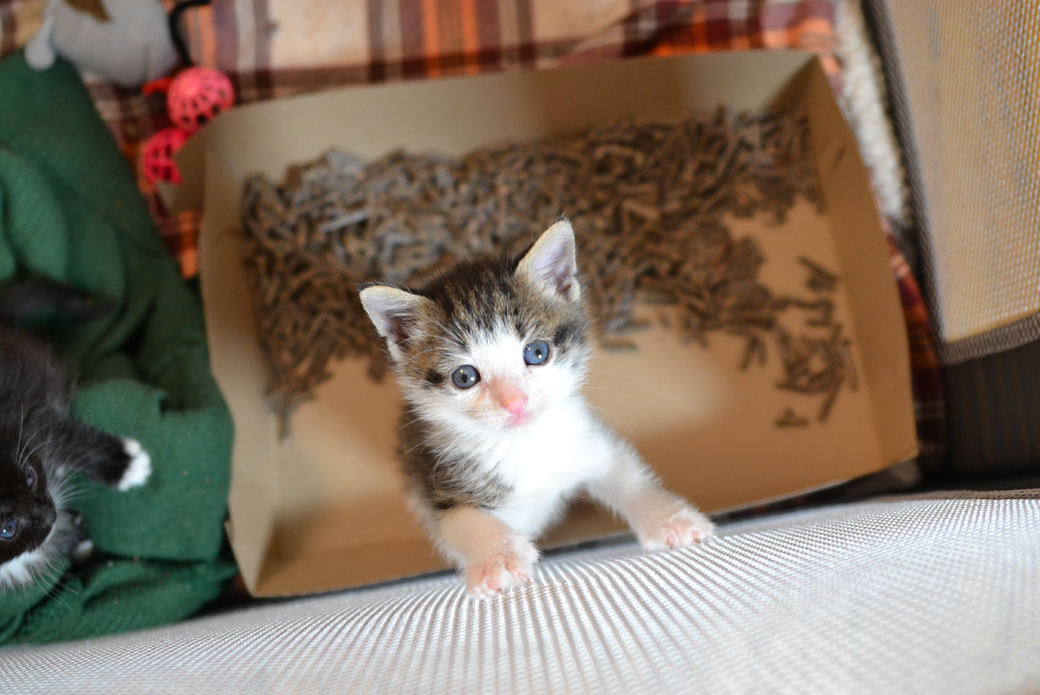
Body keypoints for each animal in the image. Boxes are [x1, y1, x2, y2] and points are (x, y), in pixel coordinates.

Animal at [0, 278, 151, 590]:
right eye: (7, 529)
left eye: (30, 478)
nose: (51, 515)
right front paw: (72, 539)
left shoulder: (31, 414)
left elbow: (71, 440)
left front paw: (126, 465)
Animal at [359, 221, 715, 599]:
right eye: (464, 377)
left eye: (537, 353)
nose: (515, 402)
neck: (524, 442)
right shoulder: (436, 478)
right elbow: (461, 520)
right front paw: (498, 560)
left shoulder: (588, 441)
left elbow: (626, 477)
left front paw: (669, 520)